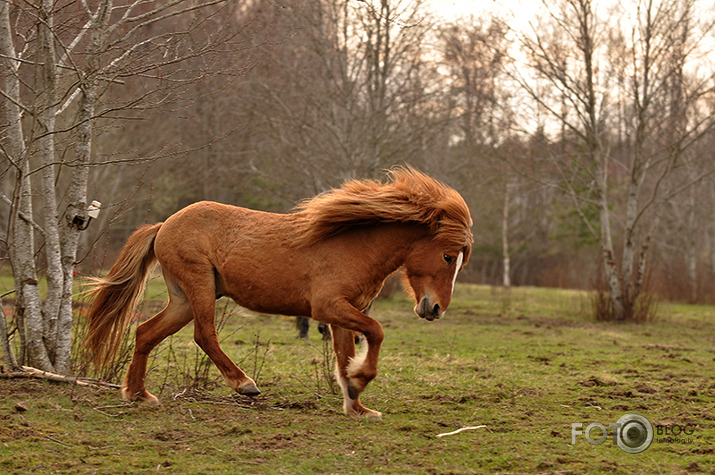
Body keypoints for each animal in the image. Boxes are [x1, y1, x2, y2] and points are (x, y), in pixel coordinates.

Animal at [84, 167, 472, 416]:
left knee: (145, 333)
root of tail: (164, 225)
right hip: (200, 288)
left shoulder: (342, 315)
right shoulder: (328, 307)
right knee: (204, 334)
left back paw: (138, 394)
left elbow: (345, 354)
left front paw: (356, 403)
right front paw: (360, 382)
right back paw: (244, 384)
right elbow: (375, 332)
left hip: (182, 300)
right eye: (447, 255)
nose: (435, 309)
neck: (354, 246)